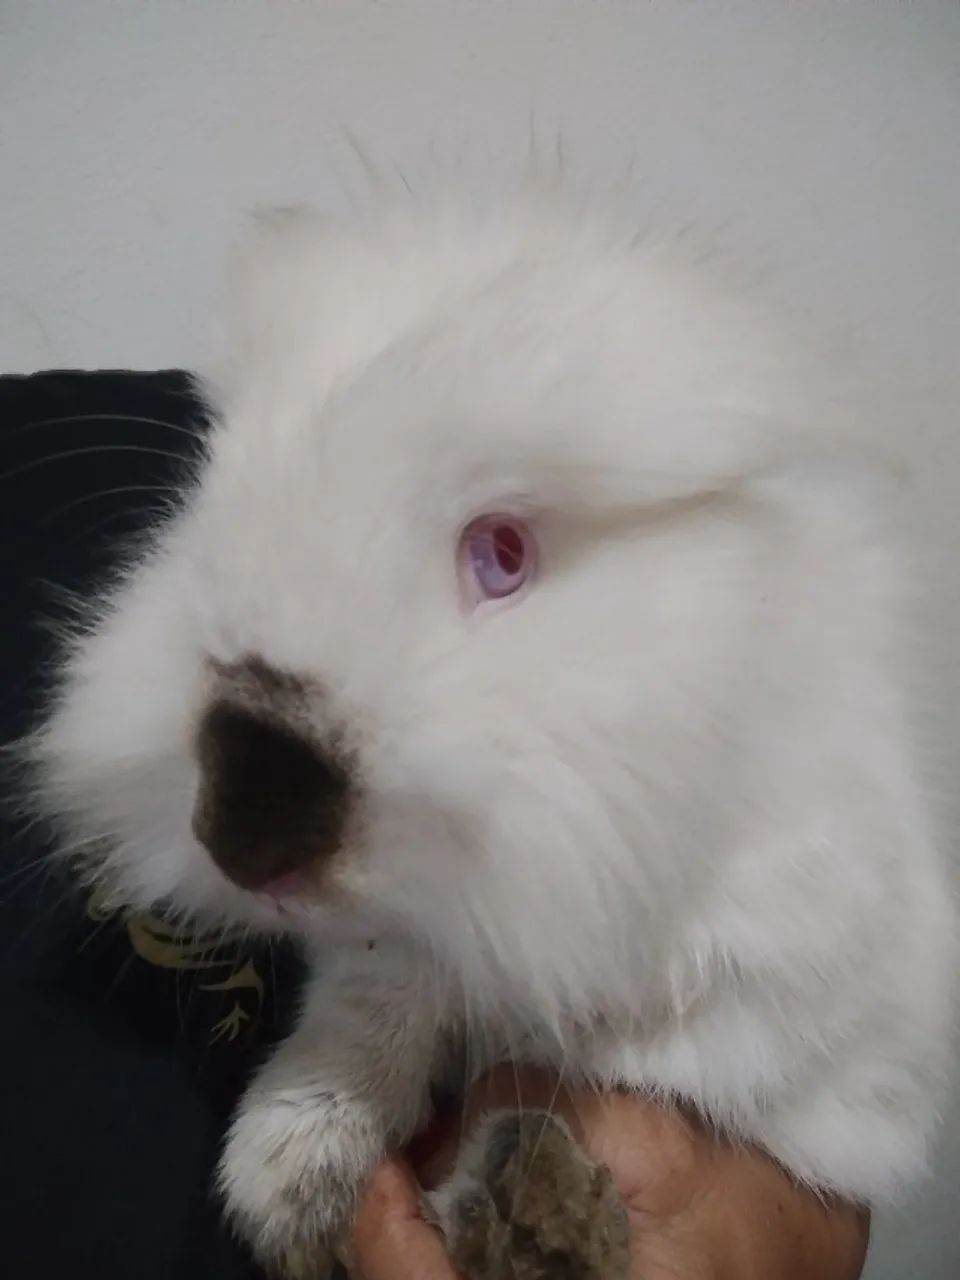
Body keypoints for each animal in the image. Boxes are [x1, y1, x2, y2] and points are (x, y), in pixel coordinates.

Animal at [27, 193, 956, 1279]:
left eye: (503, 553)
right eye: (204, 511)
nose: (246, 838)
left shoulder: (795, 1009)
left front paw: (539, 1207)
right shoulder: (401, 952)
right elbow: (378, 1007)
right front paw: (292, 1179)